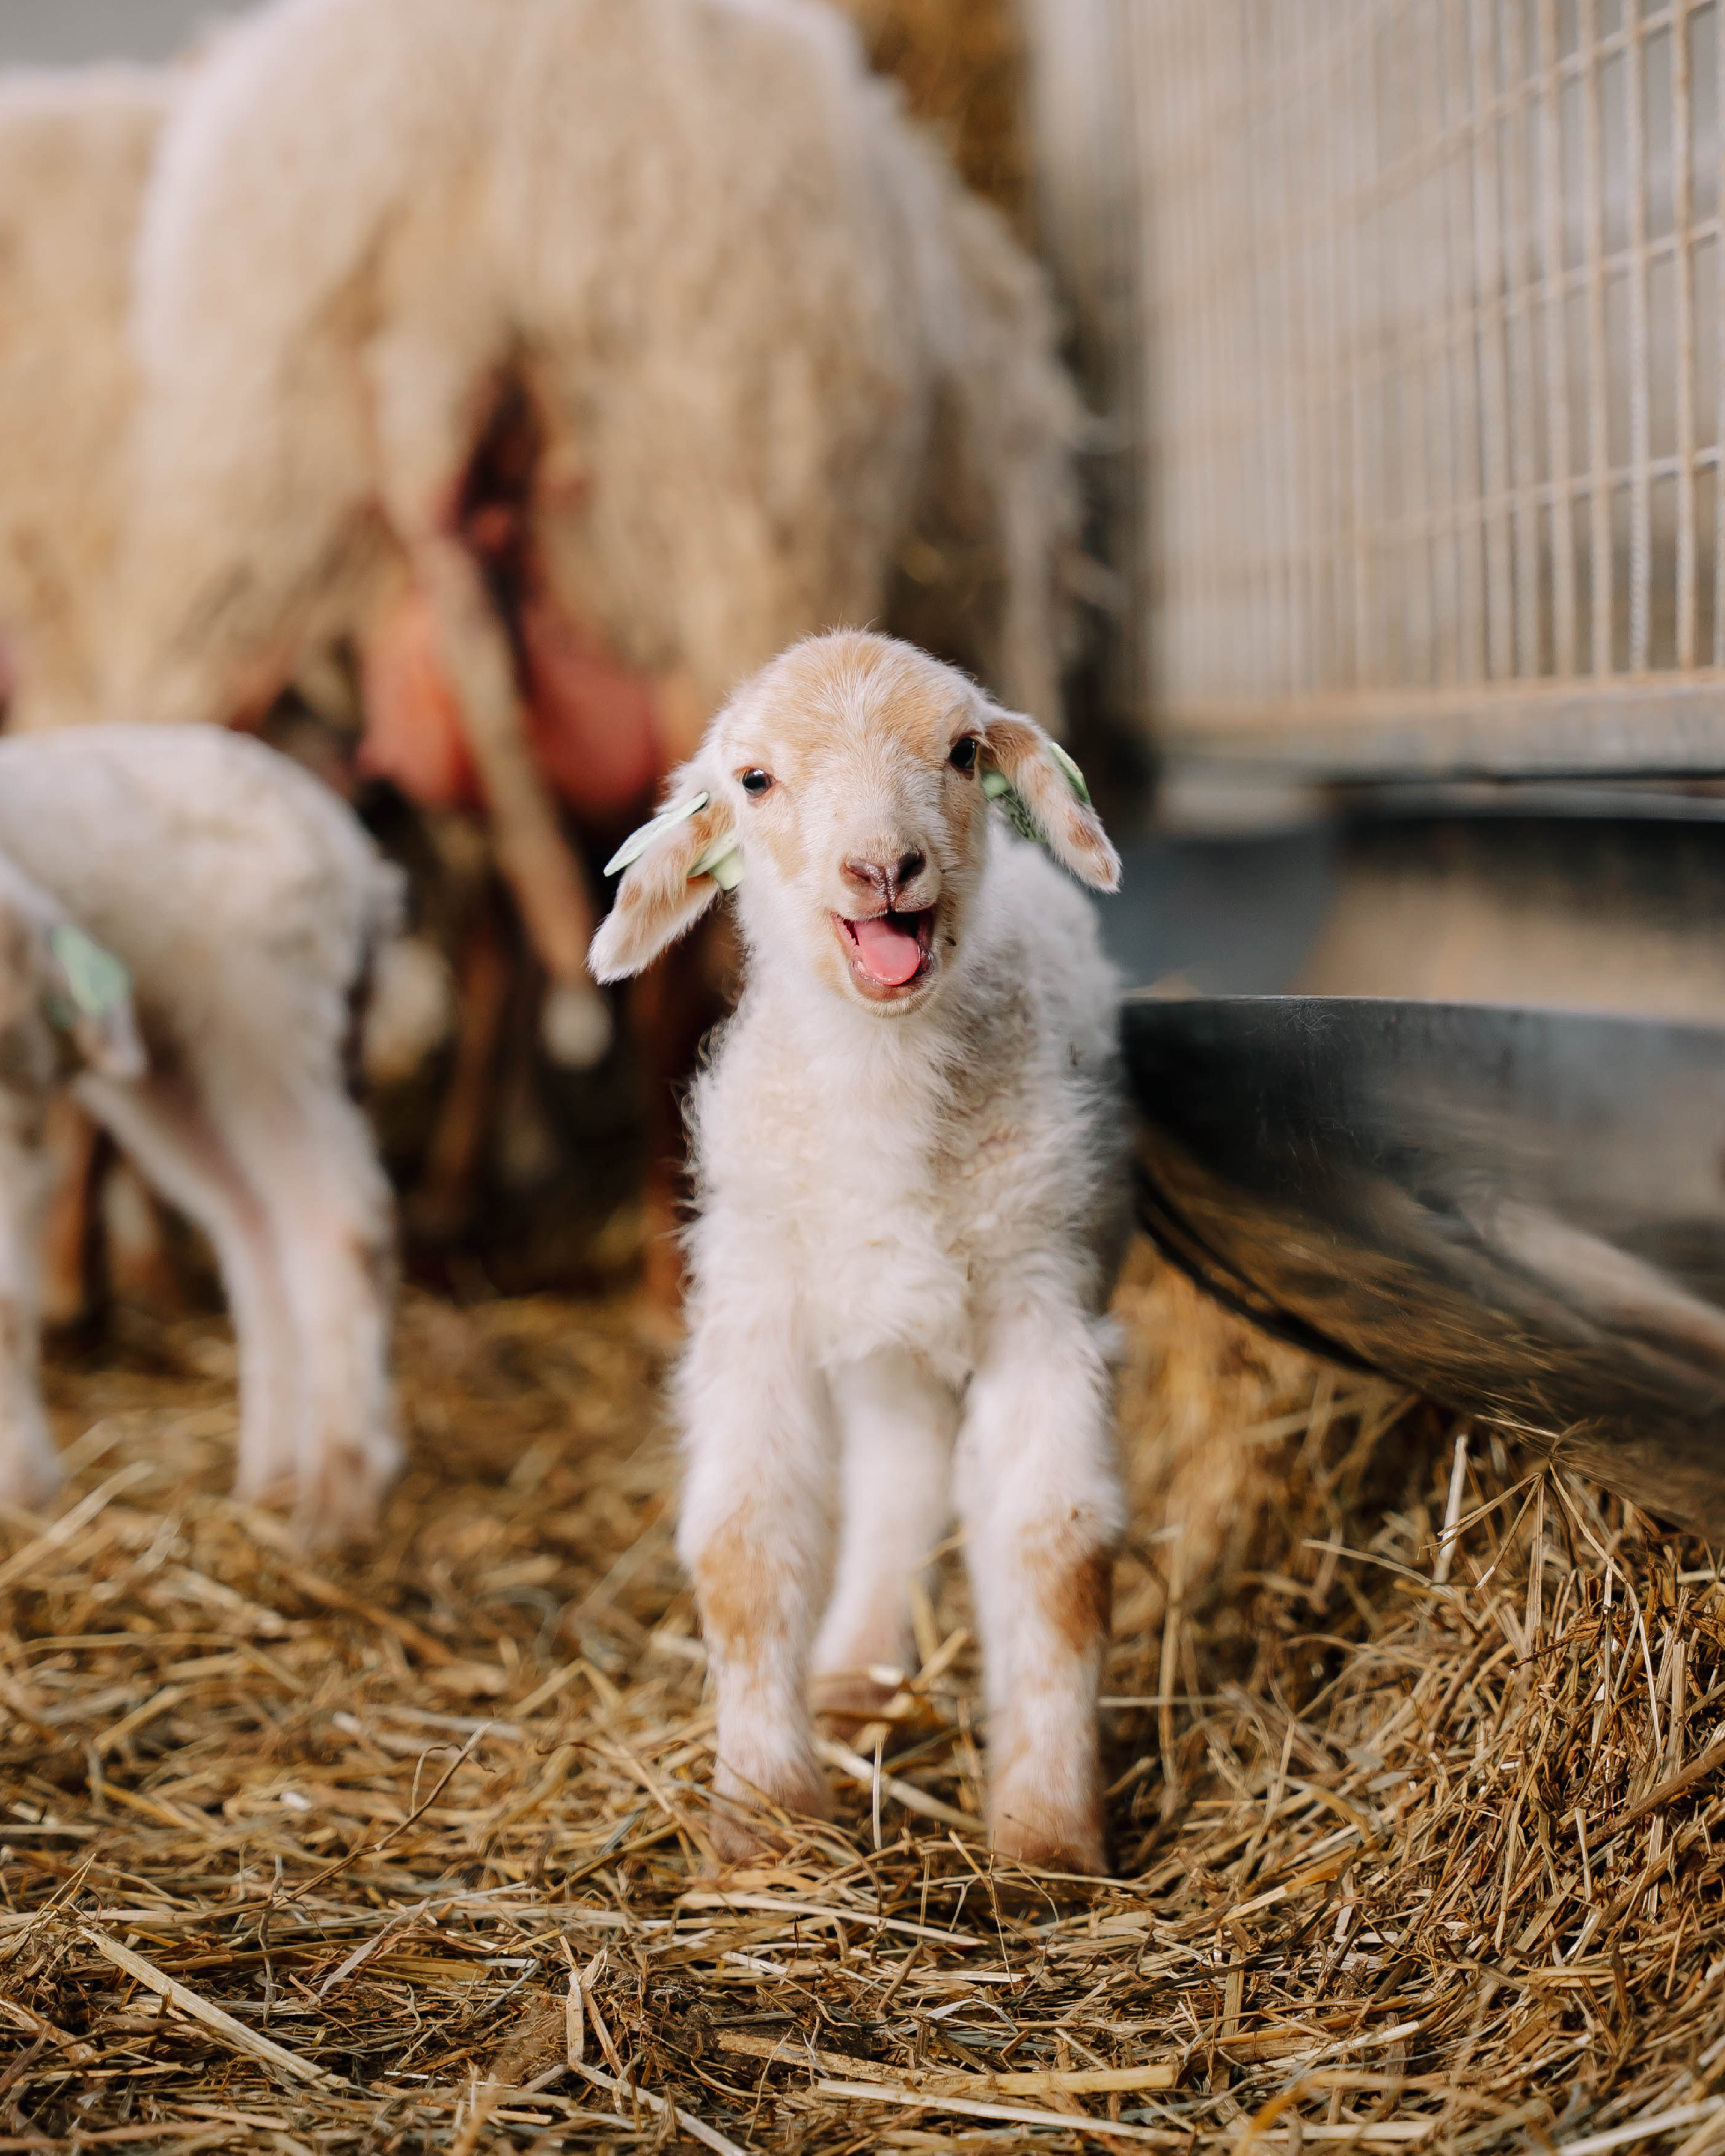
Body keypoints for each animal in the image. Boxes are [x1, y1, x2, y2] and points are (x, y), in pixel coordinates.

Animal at [0, 725, 404, 1549]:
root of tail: (361, 863)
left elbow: (4, 1309)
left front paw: (21, 1490)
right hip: (176, 1065)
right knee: (253, 1225)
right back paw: (274, 1474)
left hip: (268, 1020)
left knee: (335, 1220)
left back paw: (338, 1489)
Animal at [590, 631, 1128, 1872]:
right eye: (753, 780)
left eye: (964, 751)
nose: (884, 866)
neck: (884, 1082)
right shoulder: (757, 1300)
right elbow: (743, 1545)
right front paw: (763, 1818)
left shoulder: (1039, 1297)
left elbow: (1055, 1550)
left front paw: (1048, 1836)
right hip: (877, 1330)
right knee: (899, 1471)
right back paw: (851, 1677)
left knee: (931, 1477)